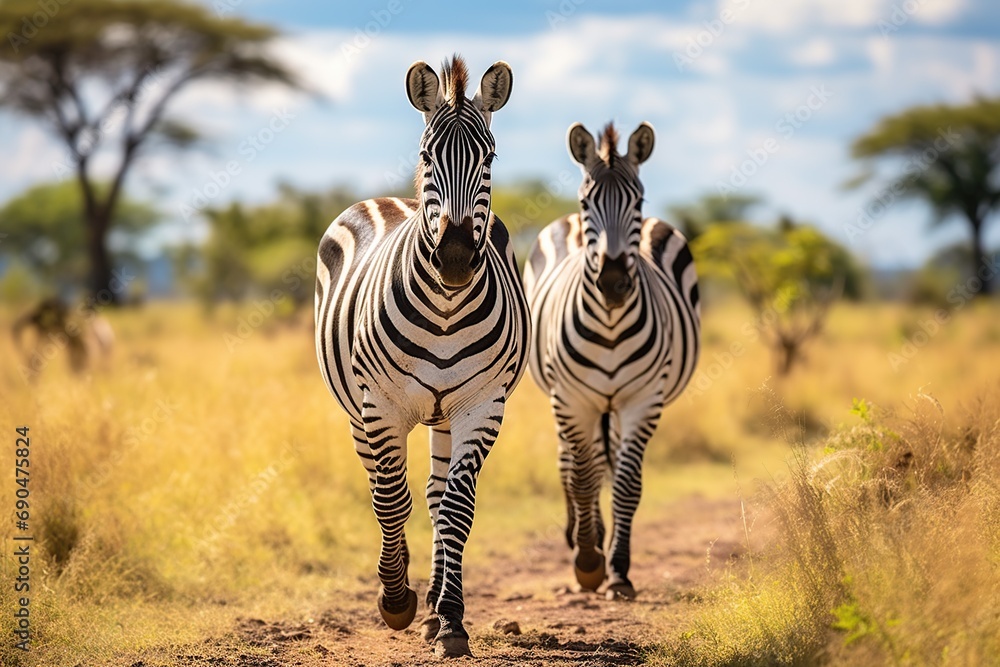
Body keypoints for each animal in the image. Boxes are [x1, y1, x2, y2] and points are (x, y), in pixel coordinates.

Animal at [314, 56, 528, 658]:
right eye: (428, 156)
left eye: (490, 157)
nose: (454, 259)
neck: (446, 308)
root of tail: (397, 200)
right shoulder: (382, 407)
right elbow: (390, 500)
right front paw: (395, 600)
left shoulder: (483, 405)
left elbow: (455, 507)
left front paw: (450, 619)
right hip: (360, 411)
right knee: (382, 486)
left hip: (444, 414)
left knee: (435, 497)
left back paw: (434, 604)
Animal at [523, 122, 700, 600]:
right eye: (587, 202)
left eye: (638, 201)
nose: (614, 283)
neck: (610, 324)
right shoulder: (571, 399)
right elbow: (583, 479)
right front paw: (587, 561)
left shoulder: (643, 400)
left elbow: (626, 483)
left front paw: (617, 569)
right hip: (567, 399)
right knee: (571, 464)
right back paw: (579, 538)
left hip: (615, 405)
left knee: (609, 462)